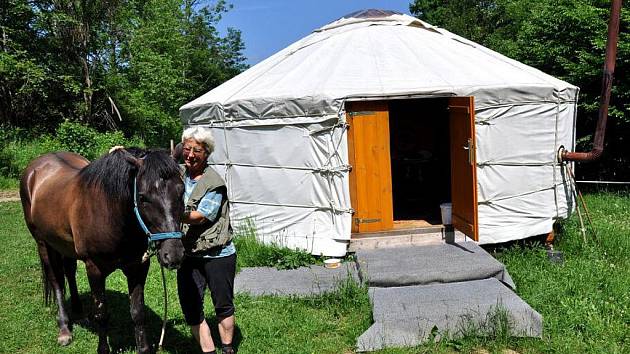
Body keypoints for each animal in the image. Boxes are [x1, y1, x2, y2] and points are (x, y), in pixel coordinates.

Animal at [19, 148, 186, 352]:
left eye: (181, 191)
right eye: (142, 197)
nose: (174, 255)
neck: (111, 214)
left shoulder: (138, 267)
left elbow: (138, 312)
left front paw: (143, 348)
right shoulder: (95, 269)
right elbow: (102, 313)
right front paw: (103, 349)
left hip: (65, 246)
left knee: (70, 273)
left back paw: (79, 312)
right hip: (43, 244)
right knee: (57, 281)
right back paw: (64, 328)